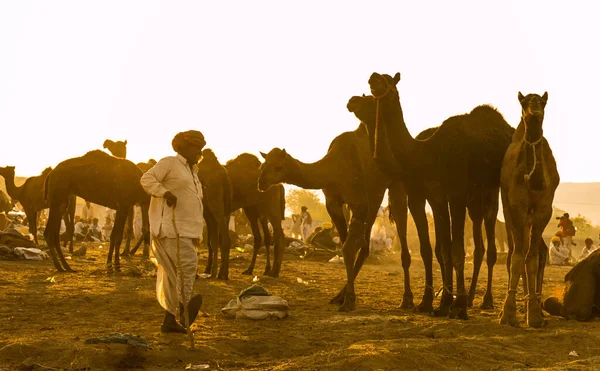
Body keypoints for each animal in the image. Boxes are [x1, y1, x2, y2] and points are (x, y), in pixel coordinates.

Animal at [258, 123, 412, 312]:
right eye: (263, 165)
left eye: (278, 166)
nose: (261, 182)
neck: (333, 167)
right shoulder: (333, 203)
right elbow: (345, 246)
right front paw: (343, 297)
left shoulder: (357, 201)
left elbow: (348, 248)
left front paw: (349, 300)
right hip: (374, 195)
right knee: (364, 244)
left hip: (396, 183)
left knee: (400, 225)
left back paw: (407, 299)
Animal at [346, 73, 516, 320]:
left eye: (388, 82)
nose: (373, 77)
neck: (425, 154)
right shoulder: (432, 196)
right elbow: (438, 250)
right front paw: (437, 304)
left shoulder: (454, 192)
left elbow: (456, 250)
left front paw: (458, 307)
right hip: (476, 196)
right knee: (480, 246)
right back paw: (473, 298)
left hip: (497, 189)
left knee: (497, 244)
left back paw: (487, 301)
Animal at [496, 92, 556, 328]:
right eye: (524, 102)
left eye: (543, 101)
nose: (535, 108)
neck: (534, 182)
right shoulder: (517, 208)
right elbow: (518, 257)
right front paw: (508, 313)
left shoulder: (543, 210)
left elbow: (532, 258)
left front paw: (535, 315)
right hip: (509, 211)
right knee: (515, 252)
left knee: (538, 251)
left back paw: (534, 301)